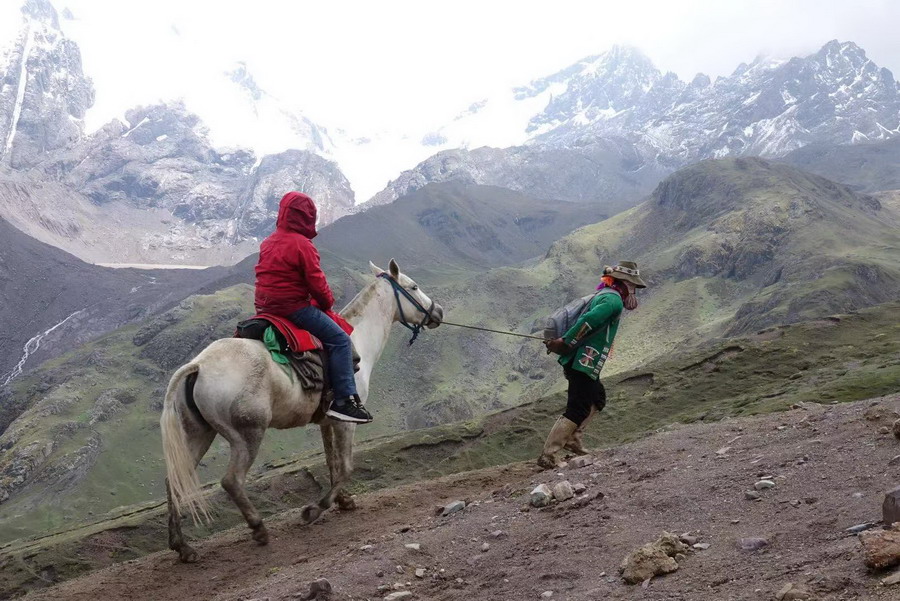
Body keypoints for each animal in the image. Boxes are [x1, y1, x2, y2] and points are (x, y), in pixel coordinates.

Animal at [160, 259, 443, 562]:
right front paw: (314, 510)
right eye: (413, 286)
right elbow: (346, 466)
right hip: (247, 435)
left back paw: (182, 547)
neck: (359, 340)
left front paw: (343, 501)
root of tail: (199, 365)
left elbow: (332, 463)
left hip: (199, 433)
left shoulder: (327, 421)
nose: (438, 311)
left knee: (174, 481)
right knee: (231, 480)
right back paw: (258, 529)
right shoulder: (347, 421)